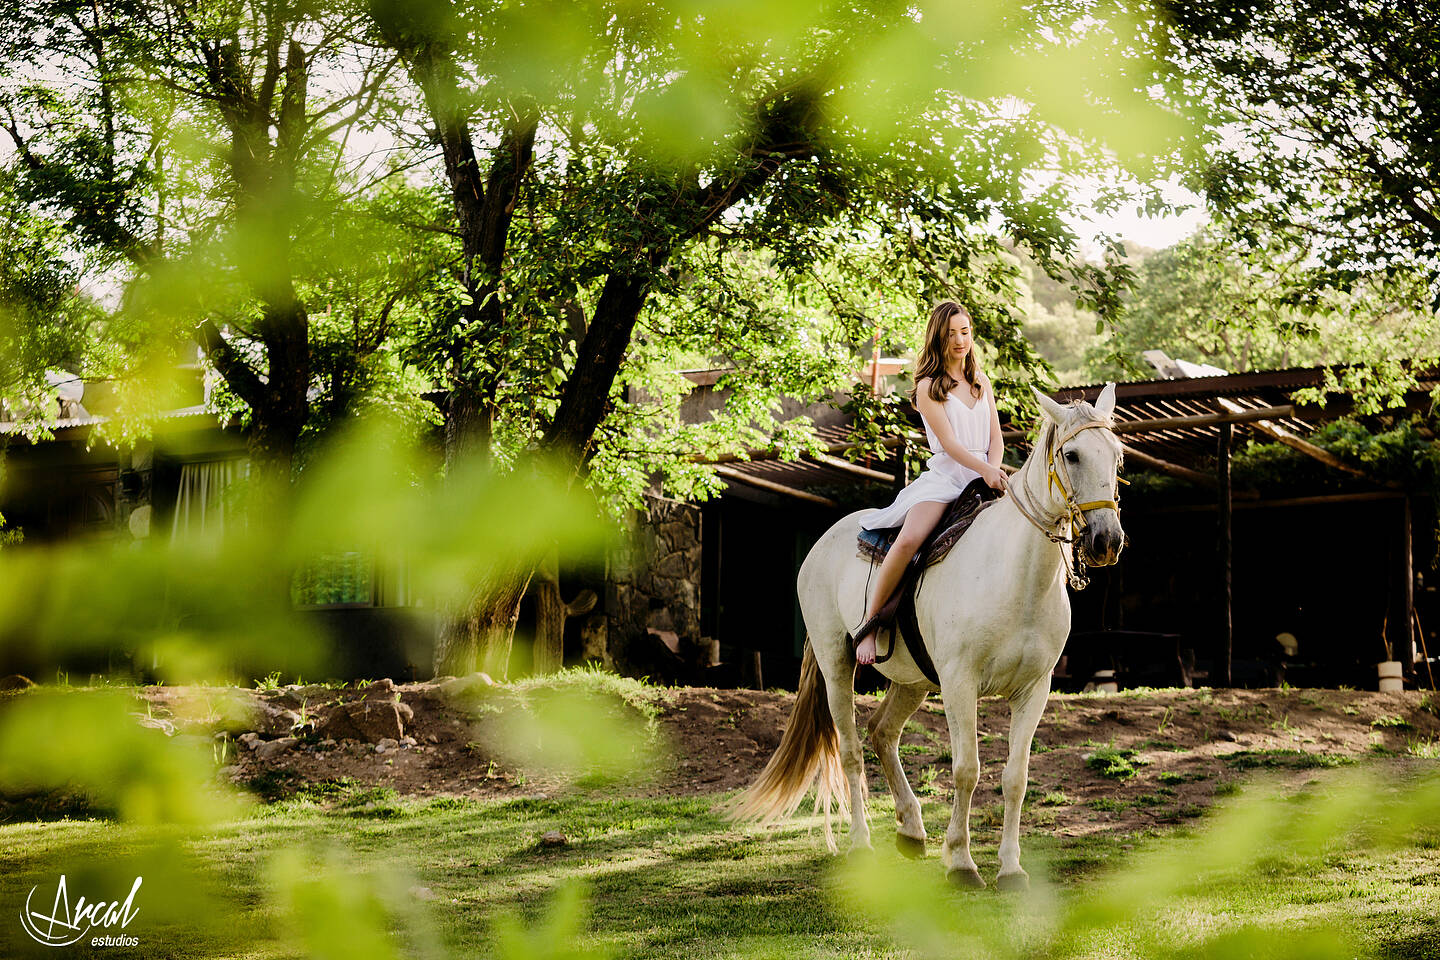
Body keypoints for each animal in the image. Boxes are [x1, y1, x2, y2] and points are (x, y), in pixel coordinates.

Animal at [730, 384, 1125, 890]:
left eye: (1116, 456)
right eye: (1072, 455)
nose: (1106, 541)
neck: (1016, 576)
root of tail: (822, 543)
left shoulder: (1034, 690)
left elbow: (1015, 777)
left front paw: (1010, 869)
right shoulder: (960, 684)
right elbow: (966, 770)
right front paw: (960, 861)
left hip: (913, 682)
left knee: (883, 733)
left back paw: (912, 830)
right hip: (837, 667)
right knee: (851, 749)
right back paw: (862, 844)